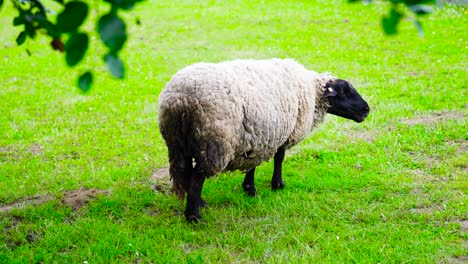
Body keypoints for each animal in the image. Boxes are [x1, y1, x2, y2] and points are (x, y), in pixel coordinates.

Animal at [157, 58, 370, 222]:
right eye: (343, 91)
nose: (366, 110)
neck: (312, 91)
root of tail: (180, 101)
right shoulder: (282, 132)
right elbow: (279, 158)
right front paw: (277, 185)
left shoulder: (258, 135)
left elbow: (253, 164)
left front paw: (249, 189)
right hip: (213, 144)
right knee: (197, 177)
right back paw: (194, 216)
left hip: (179, 144)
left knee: (188, 174)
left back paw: (198, 203)